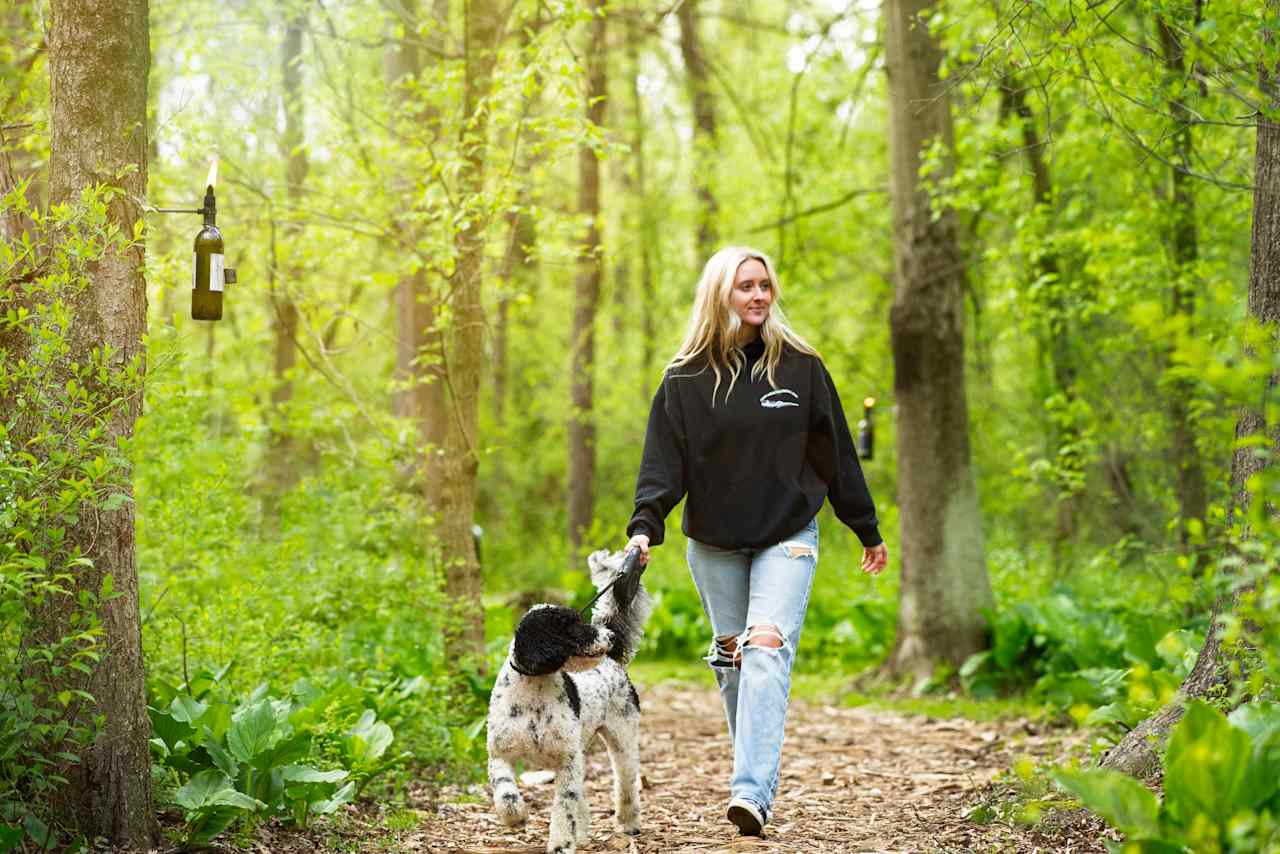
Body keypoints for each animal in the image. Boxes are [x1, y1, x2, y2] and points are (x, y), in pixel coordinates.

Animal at [486, 550, 655, 850]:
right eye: (572, 625)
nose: (610, 636)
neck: (533, 694)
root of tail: (613, 660)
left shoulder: (566, 762)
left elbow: (563, 809)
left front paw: (561, 845)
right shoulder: (500, 754)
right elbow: (505, 793)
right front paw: (516, 817)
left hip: (622, 738)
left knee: (626, 783)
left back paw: (628, 823)